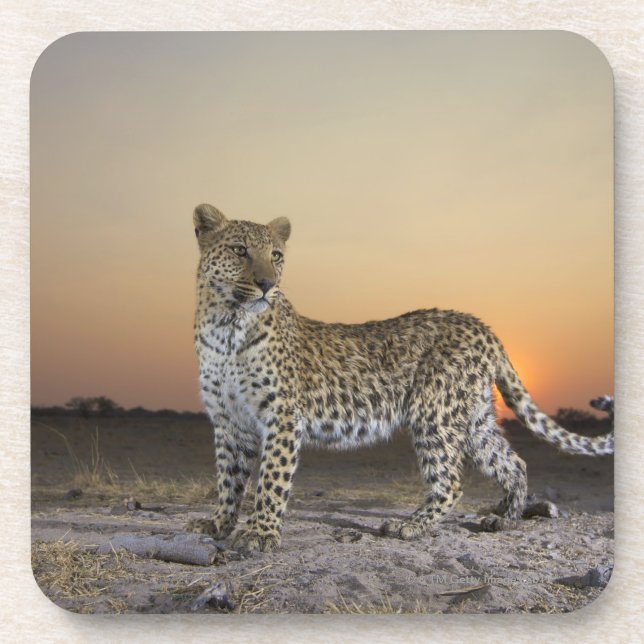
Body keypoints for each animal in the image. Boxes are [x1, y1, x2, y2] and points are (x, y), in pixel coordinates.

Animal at [185, 203, 614, 552]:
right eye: (240, 250)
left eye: (276, 256)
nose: (267, 284)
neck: (226, 325)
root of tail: (482, 325)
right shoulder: (229, 420)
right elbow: (228, 477)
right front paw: (219, 524)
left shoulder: (282, 416)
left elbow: (271, 479)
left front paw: (260, 534)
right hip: (473, 416)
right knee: (512, 461)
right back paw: (504, 519)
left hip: (434, 412)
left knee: (450, 478)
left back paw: (411, 526)